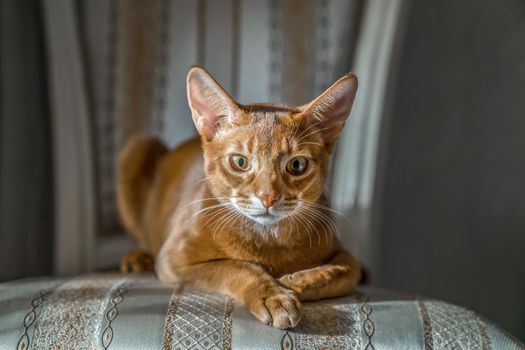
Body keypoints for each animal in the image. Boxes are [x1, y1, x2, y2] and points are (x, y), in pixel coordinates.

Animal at [117, 67, 360, 330]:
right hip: (137, 146)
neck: (268, 238)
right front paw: (274, 295)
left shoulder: (339, 247)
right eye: (240, 162)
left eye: (297, 165)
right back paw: (137, 258)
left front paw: (303, 281)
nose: (268, 197)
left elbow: (349, 271)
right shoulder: (174, 260)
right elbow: (237, 266)